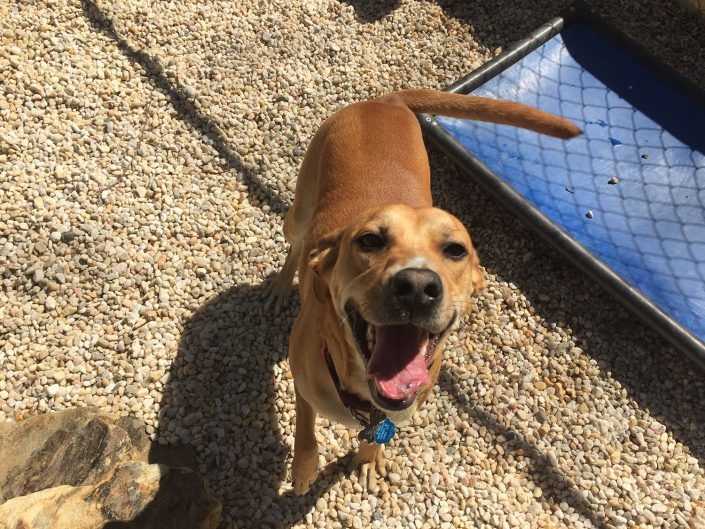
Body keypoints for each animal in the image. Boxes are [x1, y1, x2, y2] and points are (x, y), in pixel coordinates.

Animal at [264, 88, 576, 492]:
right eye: (369, 240)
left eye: (456, 249)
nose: (417, 286)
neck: (363, 393)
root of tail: (386, 101)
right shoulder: (302, 380)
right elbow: (306, 430)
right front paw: (304, 471)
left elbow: (375, 438)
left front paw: (369, 458)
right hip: (300, 211)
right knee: (296, 244)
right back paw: (281, 285)